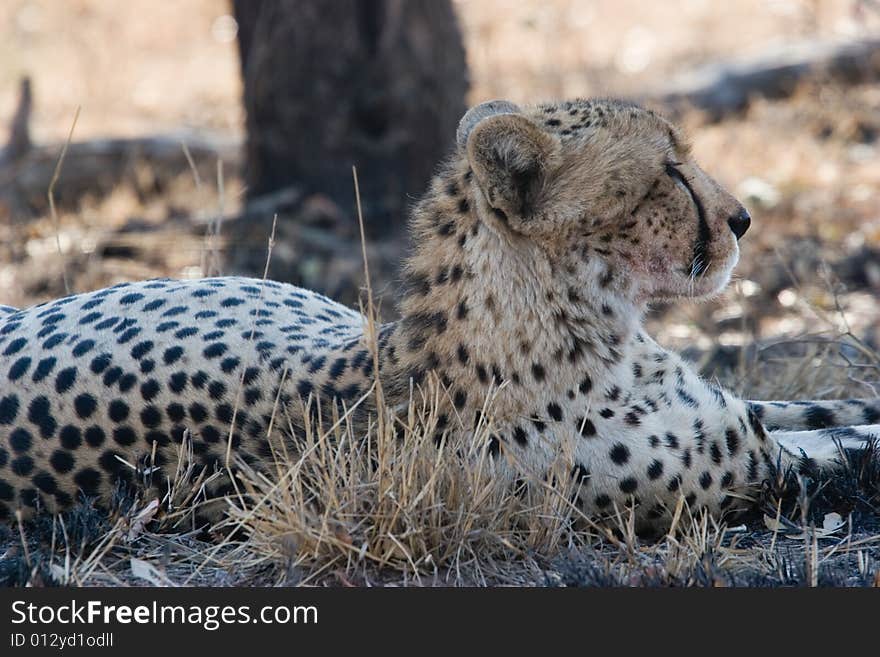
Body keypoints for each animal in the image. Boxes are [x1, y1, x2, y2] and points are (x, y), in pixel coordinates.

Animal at [0, 100, 876, 532]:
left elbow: (835, 409)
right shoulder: (748, 464)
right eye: (668, 172)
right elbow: (846, 446)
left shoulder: (742, 413)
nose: (743, 220)